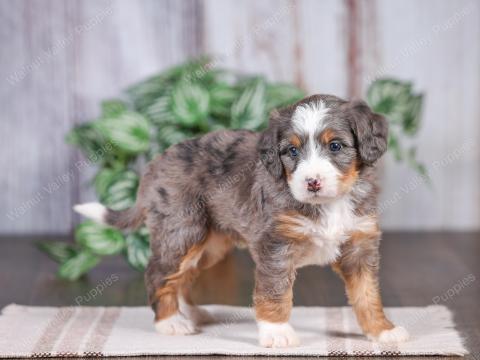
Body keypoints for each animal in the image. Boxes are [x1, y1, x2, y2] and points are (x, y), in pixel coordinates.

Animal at [75, 94, 408, 348]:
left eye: (336, 146)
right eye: (291, 150)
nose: (312, 182)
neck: (329, 204)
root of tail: (156, 163)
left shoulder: (360, 244)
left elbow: (367, 294)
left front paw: (382, 330)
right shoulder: (276, 246)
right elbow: (275, 292)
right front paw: (277, 332)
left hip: (210, 245)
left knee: (183, 277)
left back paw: (192, 313)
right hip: (182, 231)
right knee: (158, 274)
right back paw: (171, 322)